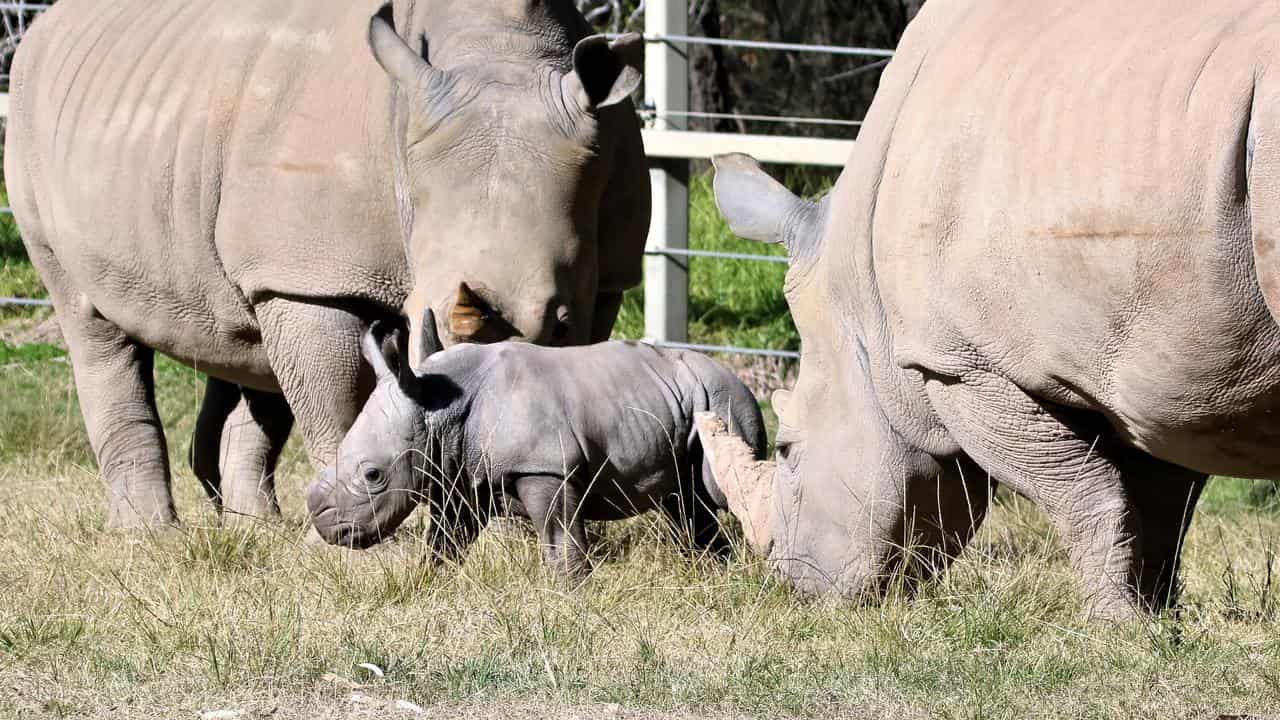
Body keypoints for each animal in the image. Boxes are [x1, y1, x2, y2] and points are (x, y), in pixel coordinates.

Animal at [5, 1, 650, 527]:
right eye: (421, 318)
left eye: (561, 323)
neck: (499, 53)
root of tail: (43, 28)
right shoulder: (313, 274)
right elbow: (337, 405)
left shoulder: (609, 275)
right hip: (35, 134)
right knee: (91, 323)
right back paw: (152, 536)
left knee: (250, 354)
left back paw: (256, 529)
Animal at [307, 308, 768, 571]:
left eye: (373, 475)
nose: (328, 527)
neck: (439, 408)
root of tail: (739, 378)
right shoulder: (461, 476)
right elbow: (444, 543)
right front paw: (428, 582)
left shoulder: (545, 467)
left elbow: (558, 534)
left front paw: (572, 591)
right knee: (684, 503)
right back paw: (714, 573)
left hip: (725, 402)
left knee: (716, 489)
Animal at [701, 0, 1280, 617]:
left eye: (788, 450)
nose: (788, 585)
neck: (857, 303)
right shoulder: (1158, 376)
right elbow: (1159, 505)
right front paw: (1155, 616)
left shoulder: (961, 364)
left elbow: (1083, 492)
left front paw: (1112, 624)